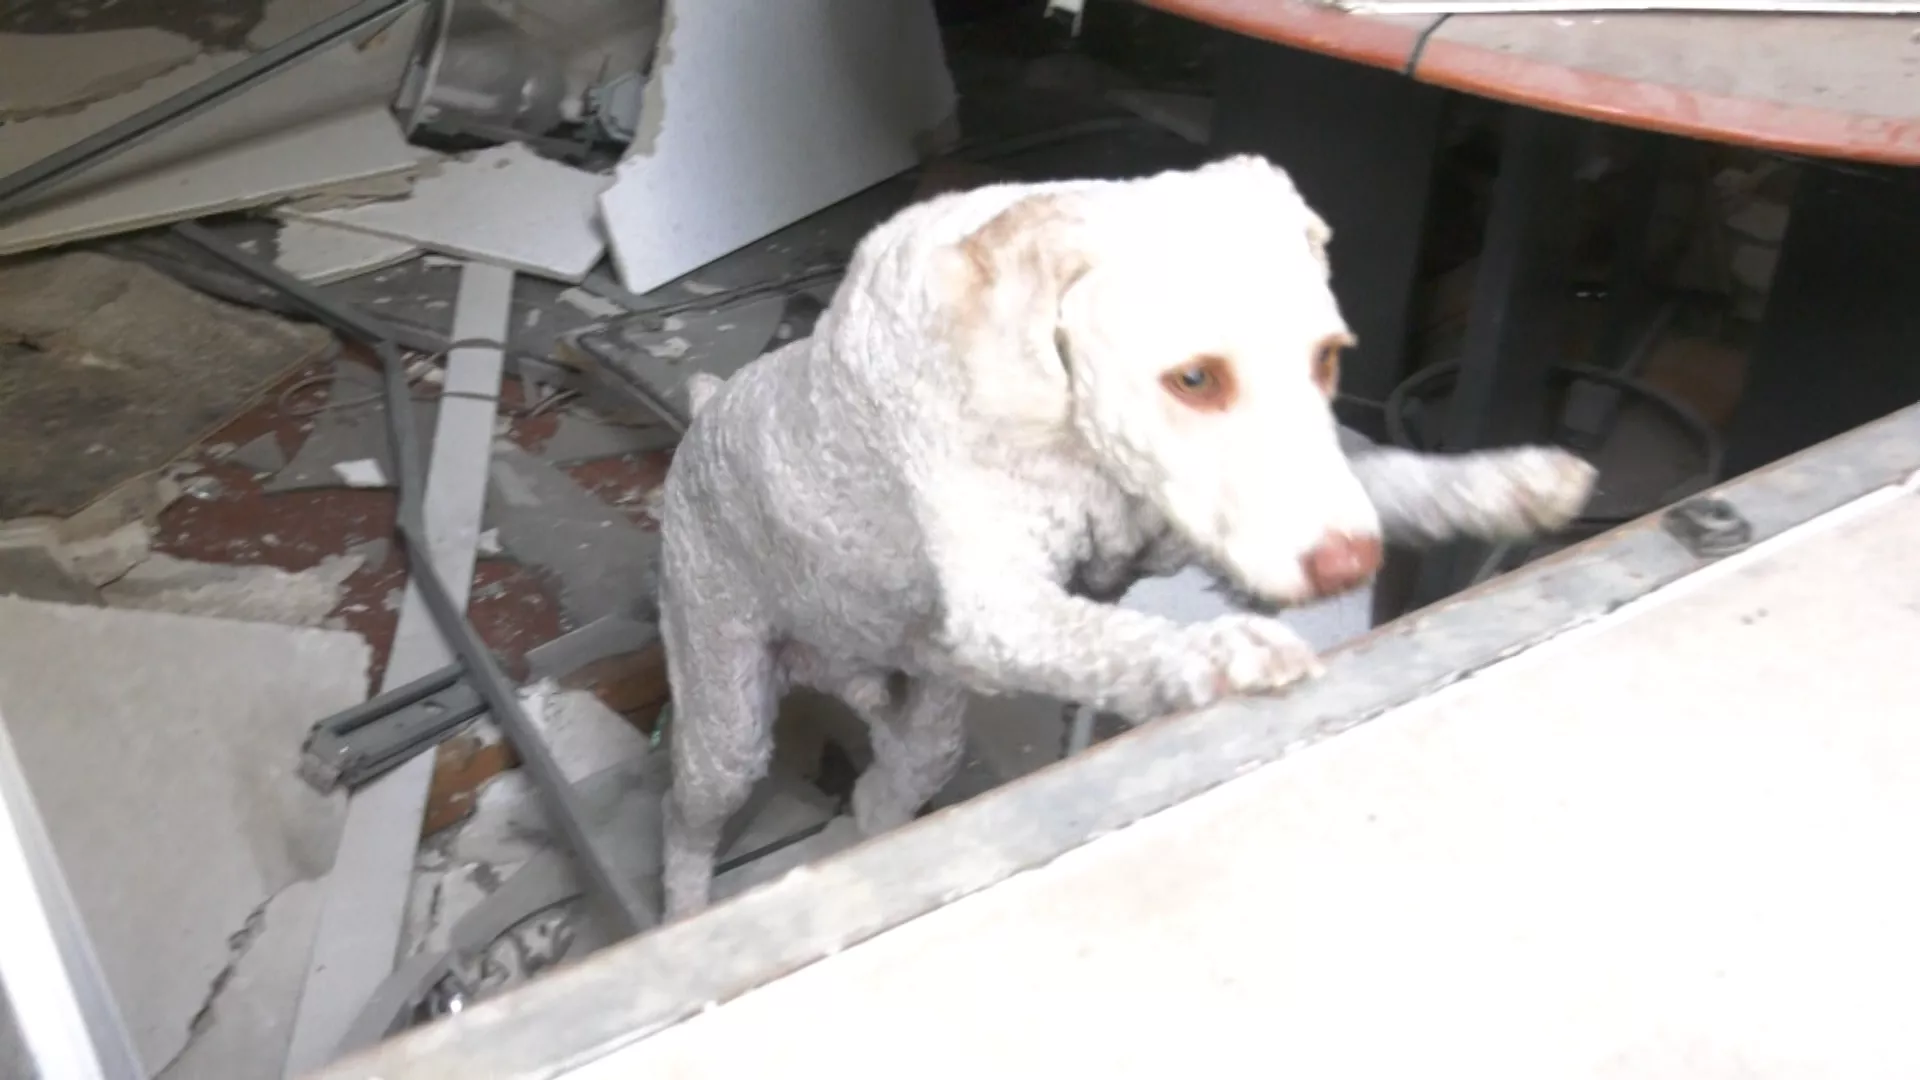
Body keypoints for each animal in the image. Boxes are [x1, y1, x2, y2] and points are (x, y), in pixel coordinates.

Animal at [656, 155, 1589, 910]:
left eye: (1327, 358)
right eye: (1194, 378)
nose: (1348, 565)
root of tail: (699, 419)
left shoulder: (1179, 528)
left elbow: (1396, 479)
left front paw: (1511, 482)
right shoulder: (1007, 610)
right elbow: (1118, 640)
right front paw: (1226, 652)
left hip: (923, 730)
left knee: (878, 796)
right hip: (726, 722)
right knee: (685, 829)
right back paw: (685, 914)